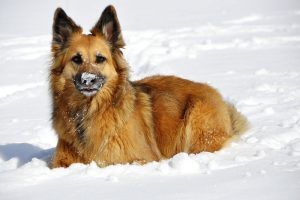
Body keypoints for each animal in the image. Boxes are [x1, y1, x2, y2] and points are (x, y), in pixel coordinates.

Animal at [50, 5, 248, 167]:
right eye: (76, 59)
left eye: (100, 59)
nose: (88, 80)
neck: (87, 111)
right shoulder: (60, 163)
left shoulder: (141, 158)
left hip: (196, 124)